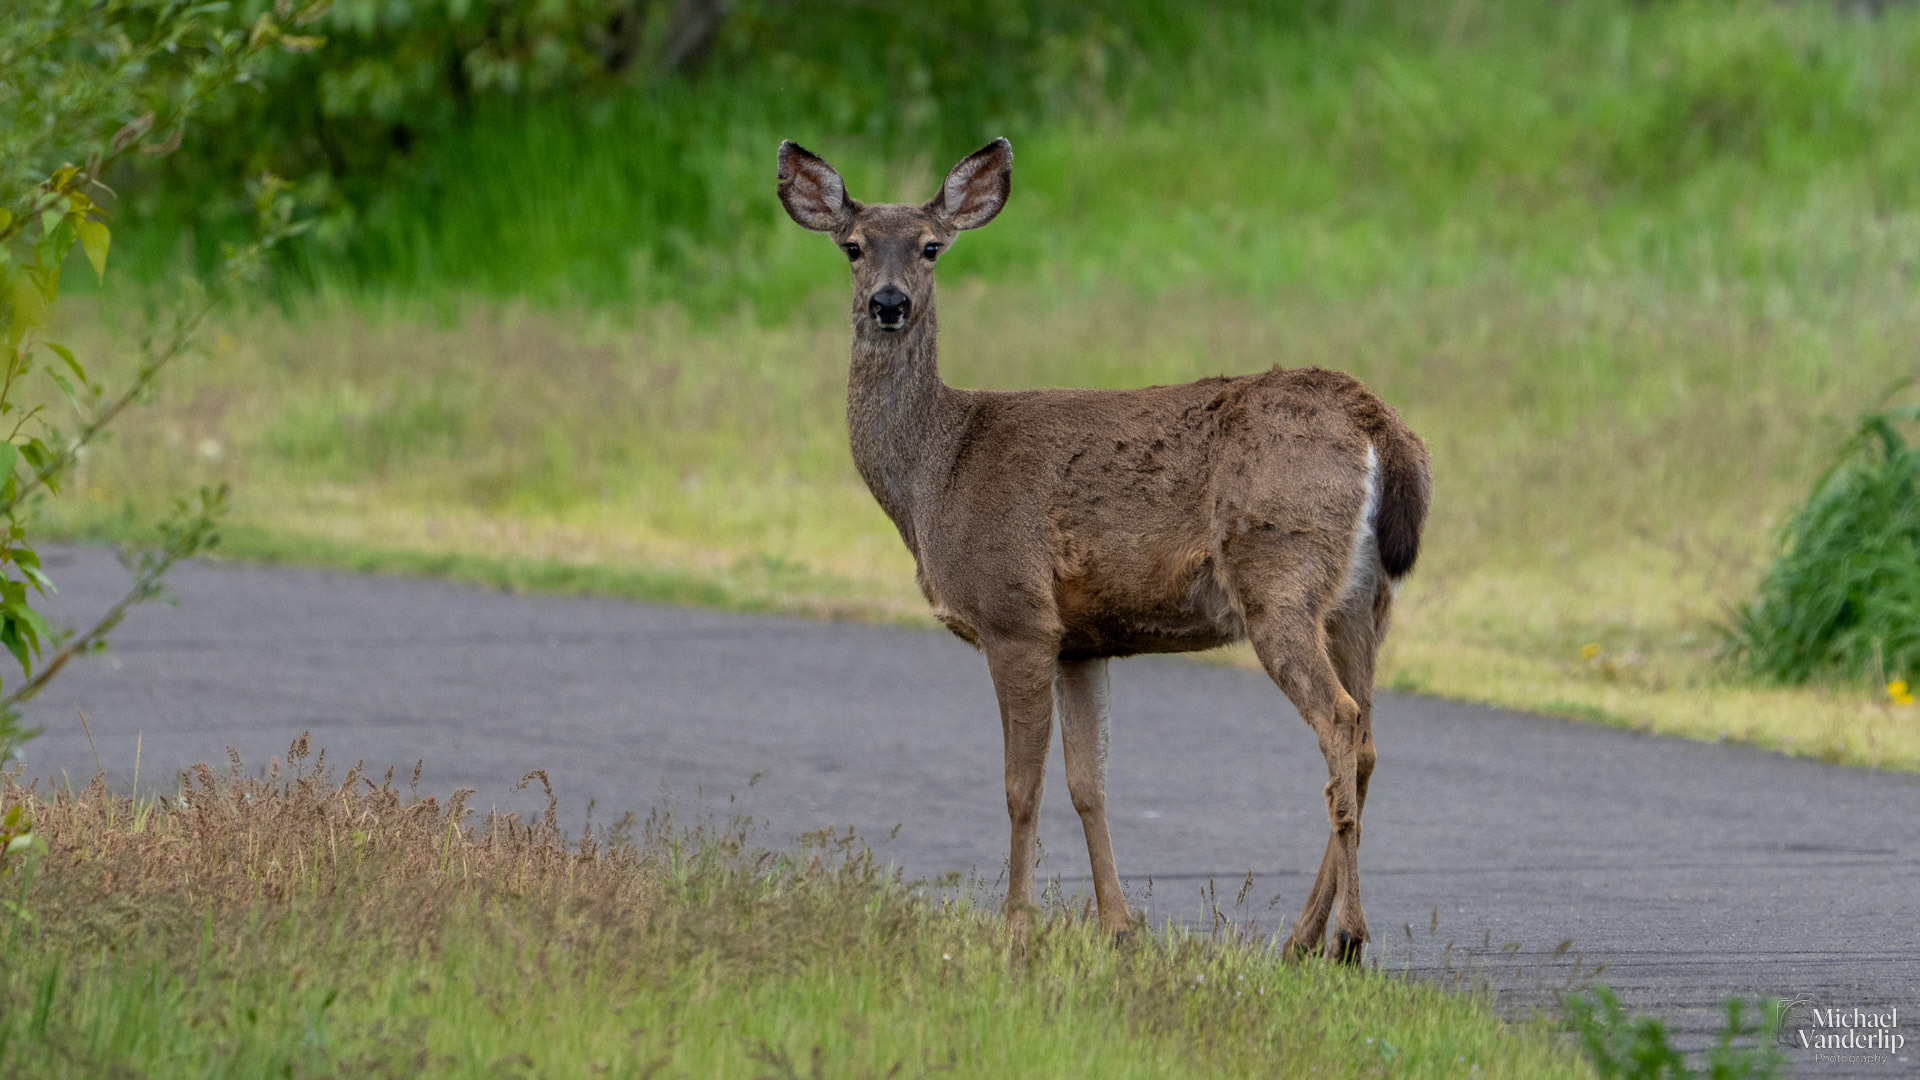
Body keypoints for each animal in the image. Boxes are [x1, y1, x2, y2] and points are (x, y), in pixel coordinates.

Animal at [777, 137, 1431, 963]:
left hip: (1279, 573)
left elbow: (1020, 786)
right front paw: (1117, 928)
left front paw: (1016, 931)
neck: (936, 469)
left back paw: (1345, 937)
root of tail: (1378, 422)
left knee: (1340, 722)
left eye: (930, 247)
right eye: (853, 246)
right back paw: (1300, 940)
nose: (888, 303)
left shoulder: (1015, 615)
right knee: (1367, 739)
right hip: (1364, 601)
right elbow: (1089, 783)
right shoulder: (1082, 642)